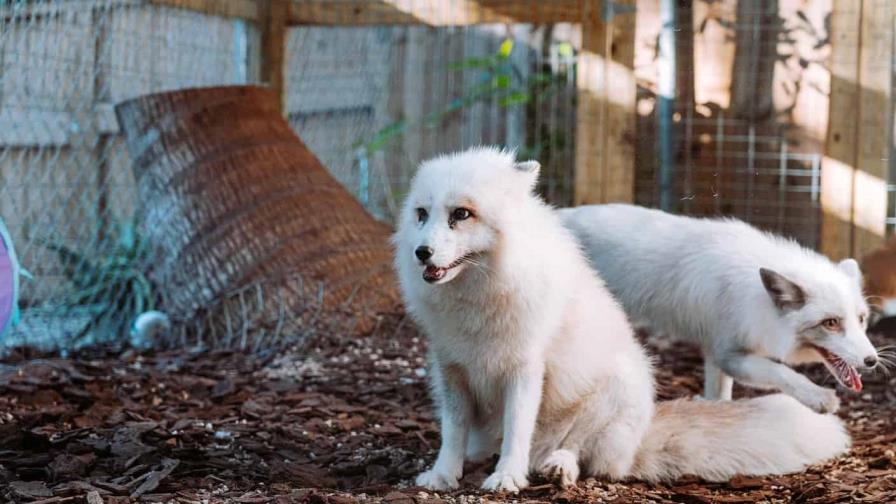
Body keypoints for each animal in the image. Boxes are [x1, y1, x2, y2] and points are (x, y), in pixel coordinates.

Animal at [392, 147, 848, 492]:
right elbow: (452, 431)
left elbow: (518, 429)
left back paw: (557, 467)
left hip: (616, 386)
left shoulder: (526, 368)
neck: (476, 300)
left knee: (584, 457)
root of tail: (643, 433)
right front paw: (444, 475)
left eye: (461, 214)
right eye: (421, 214)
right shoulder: (451, 368)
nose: (421, 252)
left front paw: (507, 478)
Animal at [564, 203, 880, 416]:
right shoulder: (728, 354)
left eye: (861, 319)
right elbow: (779, 371)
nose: (872, 361)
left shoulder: (715, 351)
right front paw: (818, 397)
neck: (755, 299)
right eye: (831, 323)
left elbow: (720, 394)